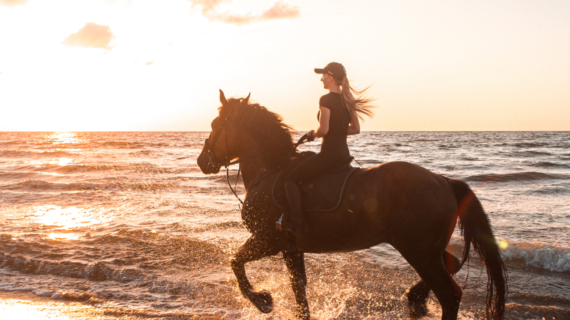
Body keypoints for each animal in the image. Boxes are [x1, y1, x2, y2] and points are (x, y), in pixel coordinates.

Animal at [196, 90, 506, 320]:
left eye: (214, 126)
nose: (202, 161)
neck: (268, 171)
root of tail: (443, 180)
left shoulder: (267, 240)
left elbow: (235, 263)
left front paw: (262, 300)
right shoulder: (290, 247)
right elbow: (299, 290)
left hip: (419, 251)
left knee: (450, 295)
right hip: (428, 249)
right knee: (452, 264)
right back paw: (415, 297)